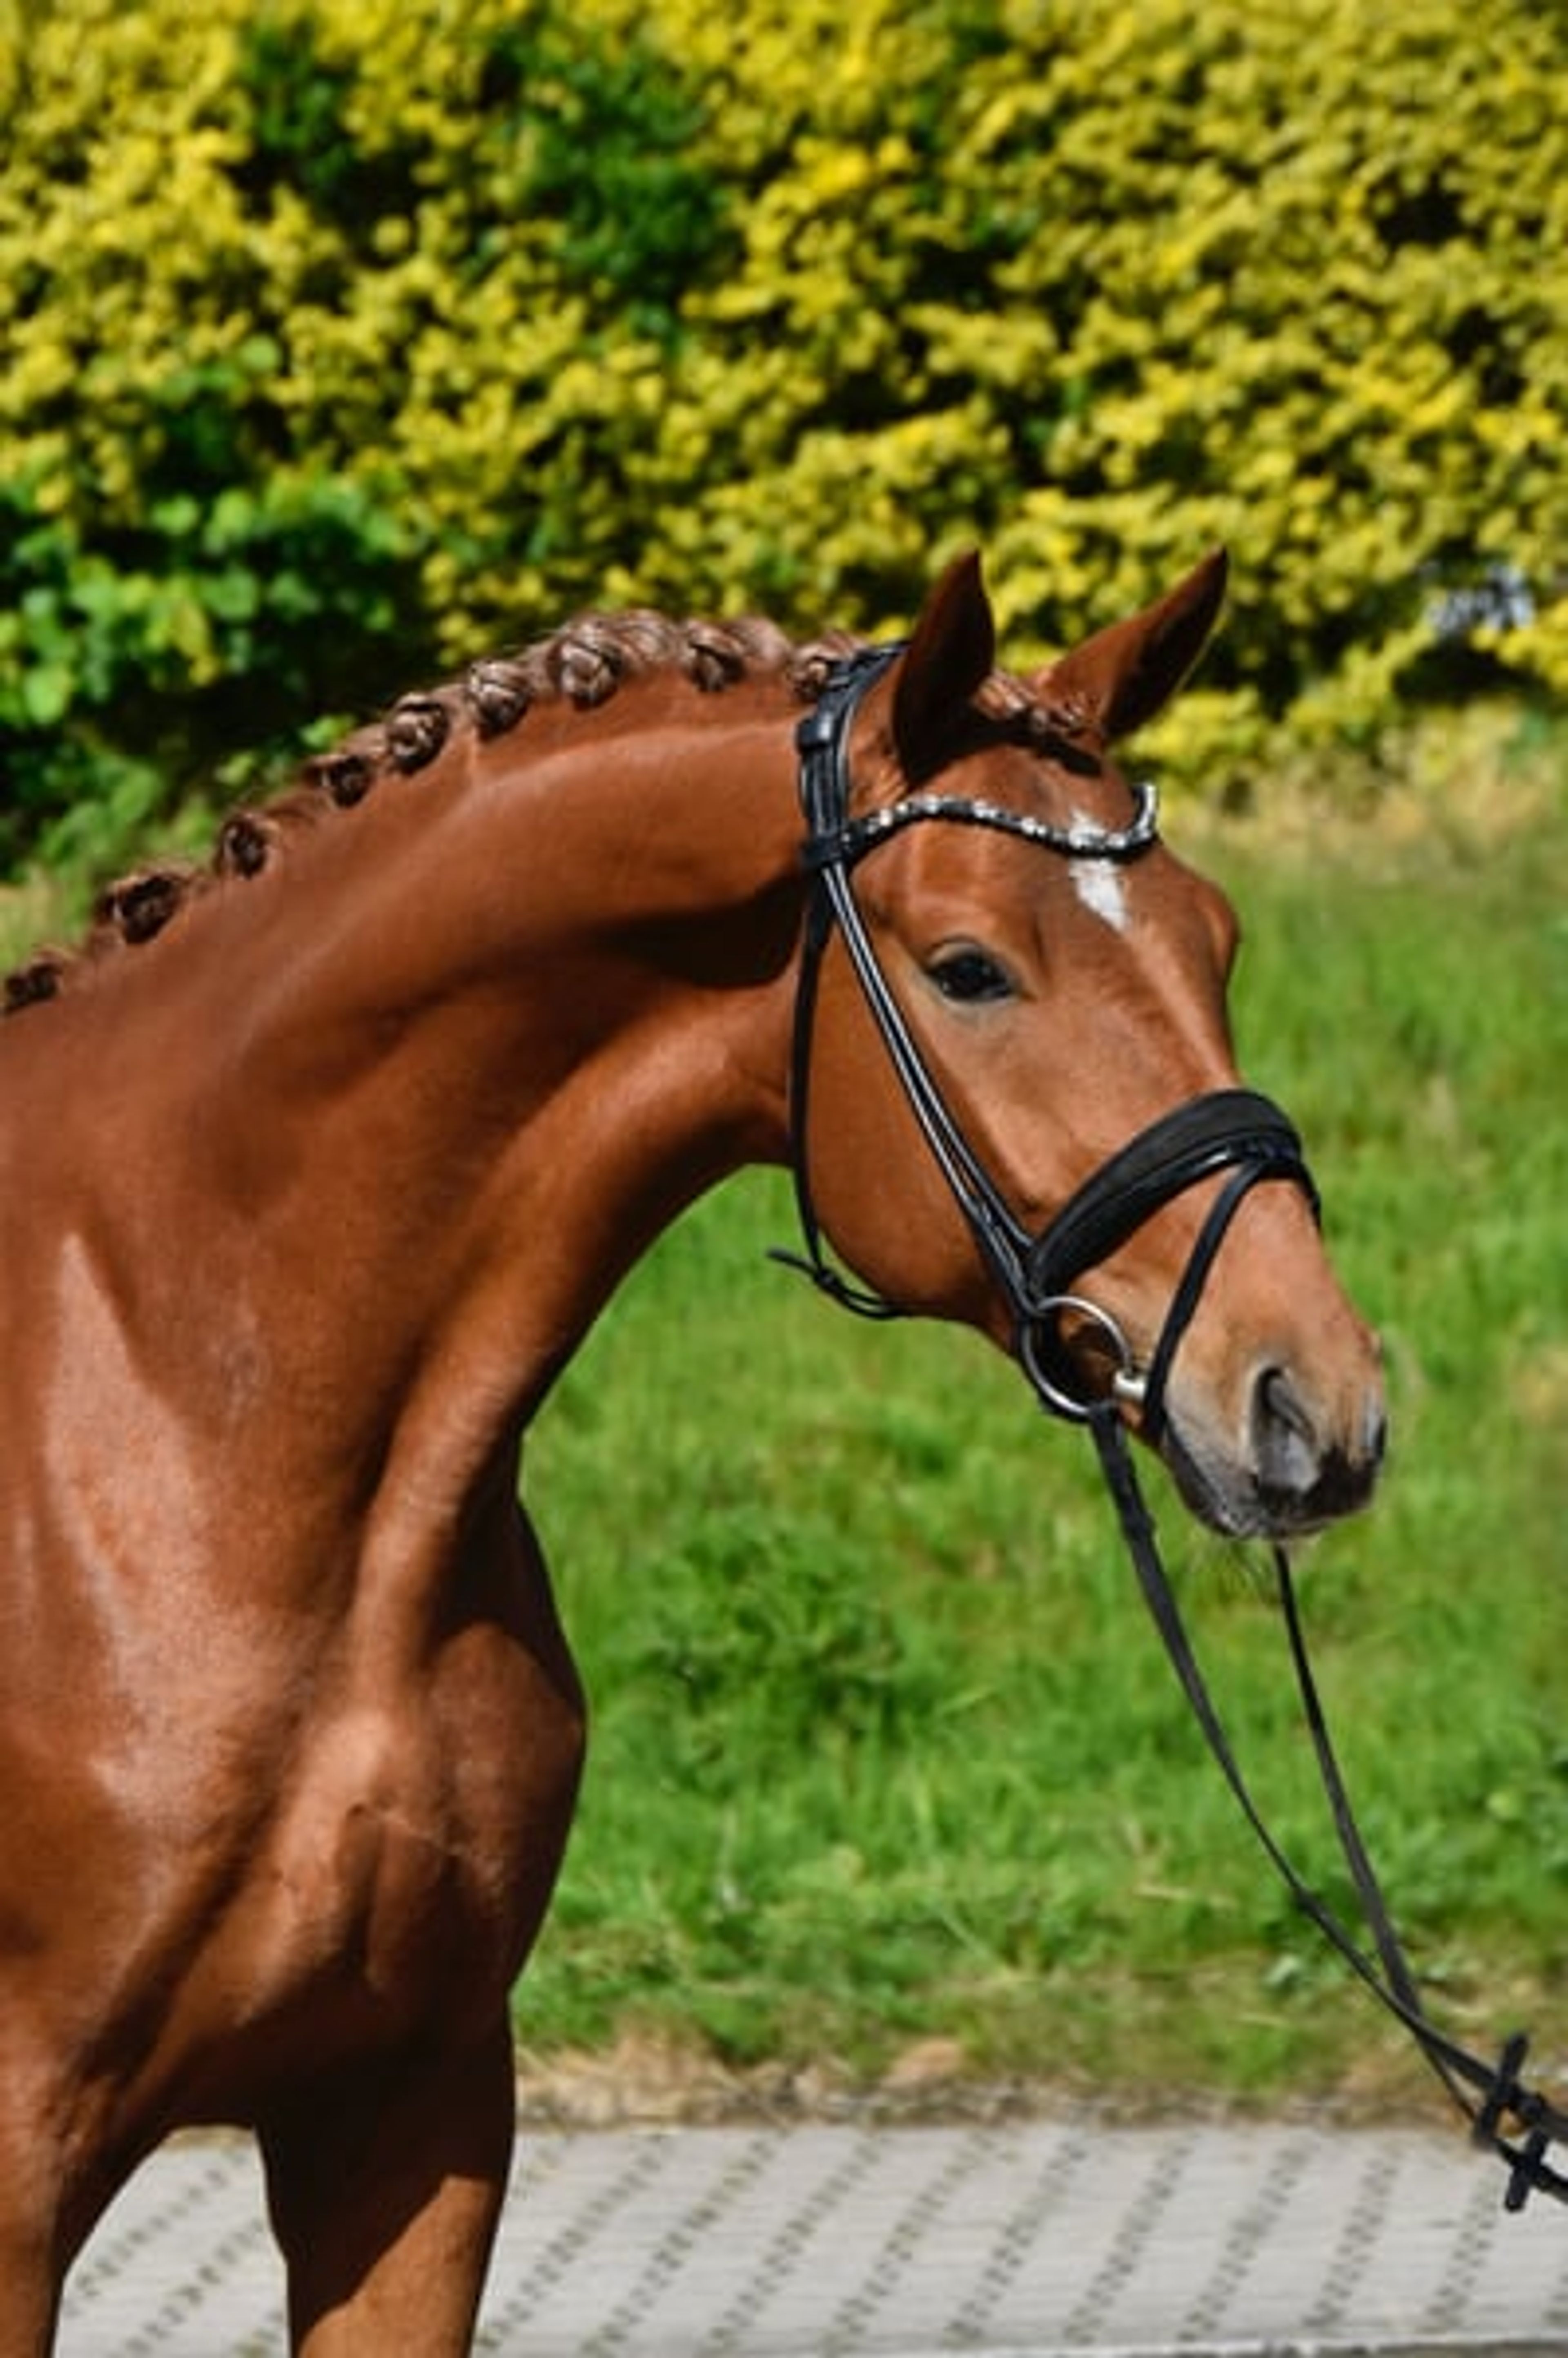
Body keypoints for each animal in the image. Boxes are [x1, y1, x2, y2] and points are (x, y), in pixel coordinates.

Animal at [0, 546, 1385, 2354]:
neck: (181, 1399)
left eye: (1213, 940)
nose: (1315, 1402)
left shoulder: (408, 2111)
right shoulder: (21, 2170)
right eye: (969, 968)